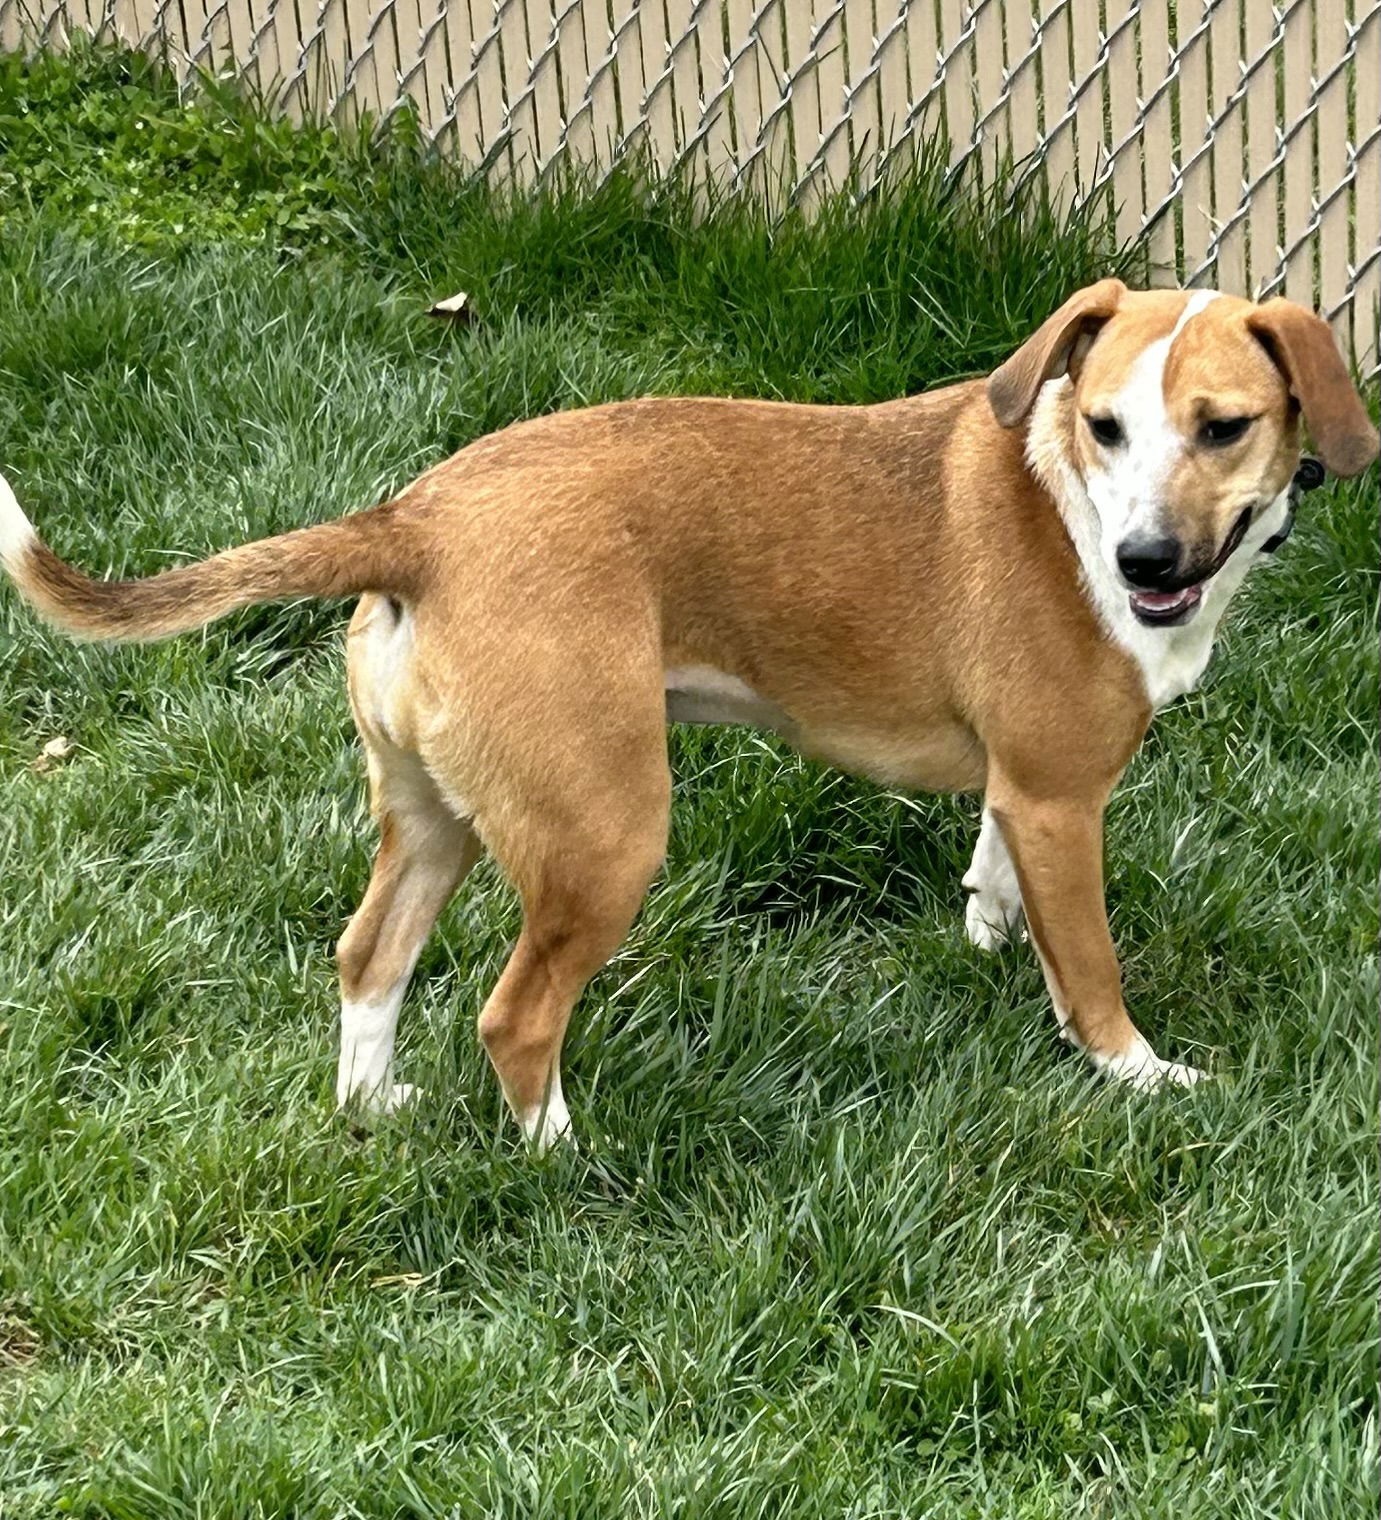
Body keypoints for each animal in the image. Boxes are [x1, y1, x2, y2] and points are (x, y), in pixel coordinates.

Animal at [0, 282, 1373, 1143]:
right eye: (1106, 427)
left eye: (1221, 428)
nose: (1144, 562)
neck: (1065, 498)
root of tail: (415, 523)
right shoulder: (1061, 799)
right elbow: (1088, 967)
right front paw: (1138, 1073)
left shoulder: (1022, 792)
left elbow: (994, 875)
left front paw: (990, 932)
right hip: (607, 836)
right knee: (515, 1014)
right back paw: (564, 1153)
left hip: (431, 819)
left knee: (368, 958)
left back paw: (373, 1107)